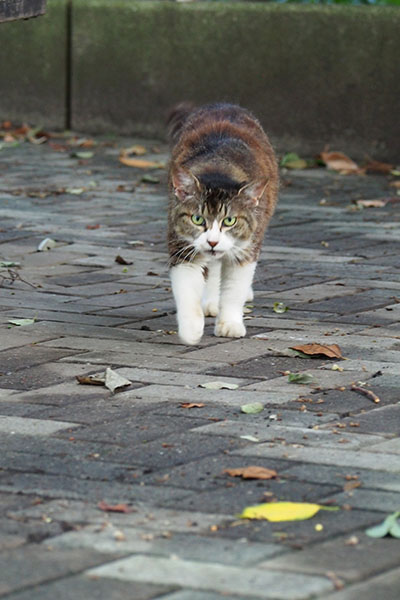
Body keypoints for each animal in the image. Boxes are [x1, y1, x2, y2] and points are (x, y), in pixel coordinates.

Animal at [167, 102, 276, 344]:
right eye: (197, 219)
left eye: (230, 220)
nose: (213, 242)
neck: (219, 169)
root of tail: (223, 105)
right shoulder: (181, 244)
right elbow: (186, 286)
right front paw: (191, 328)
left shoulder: (246, 248)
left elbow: (234, 289)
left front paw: (230, 324)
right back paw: (210, 301)